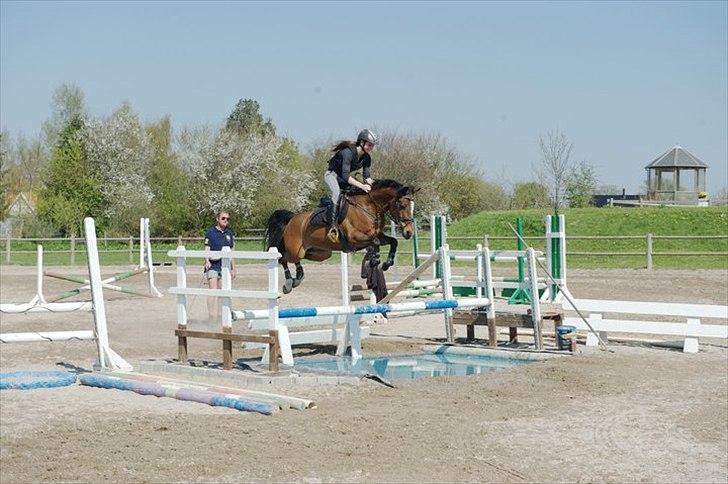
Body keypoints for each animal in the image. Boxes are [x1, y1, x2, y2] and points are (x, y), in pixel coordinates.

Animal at [264, 180, 418, 294]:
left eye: (412, 206)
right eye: (402, 205)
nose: (409, 232)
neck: (368, 208)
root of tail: (291, 219)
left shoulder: (378, 236)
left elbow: (393, 241)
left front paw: (386, 263)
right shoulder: (355, 239)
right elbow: (374, 243)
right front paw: (373, 261)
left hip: (320, 253)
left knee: (297, 260)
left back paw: (298, 277)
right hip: (295, 250)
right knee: (283, 259)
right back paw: (290, 283)